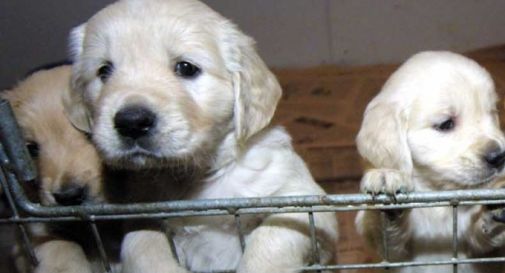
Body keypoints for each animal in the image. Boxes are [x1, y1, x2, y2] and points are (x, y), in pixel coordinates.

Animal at [64, 0, 338, 272]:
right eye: (104, 71)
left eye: (186, 68)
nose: (132, 123)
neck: (194, 177)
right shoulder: (143, 212)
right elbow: (141, 243)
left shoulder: (302, 202)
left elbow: (271, 238)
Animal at [354, 50, 505, 270]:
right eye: (446, 124)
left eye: (492, 113)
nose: (499, 156)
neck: (437, 192)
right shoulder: (394, 257)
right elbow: (382, 235)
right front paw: (386, 184)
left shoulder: (480, 254)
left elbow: (484, 242)